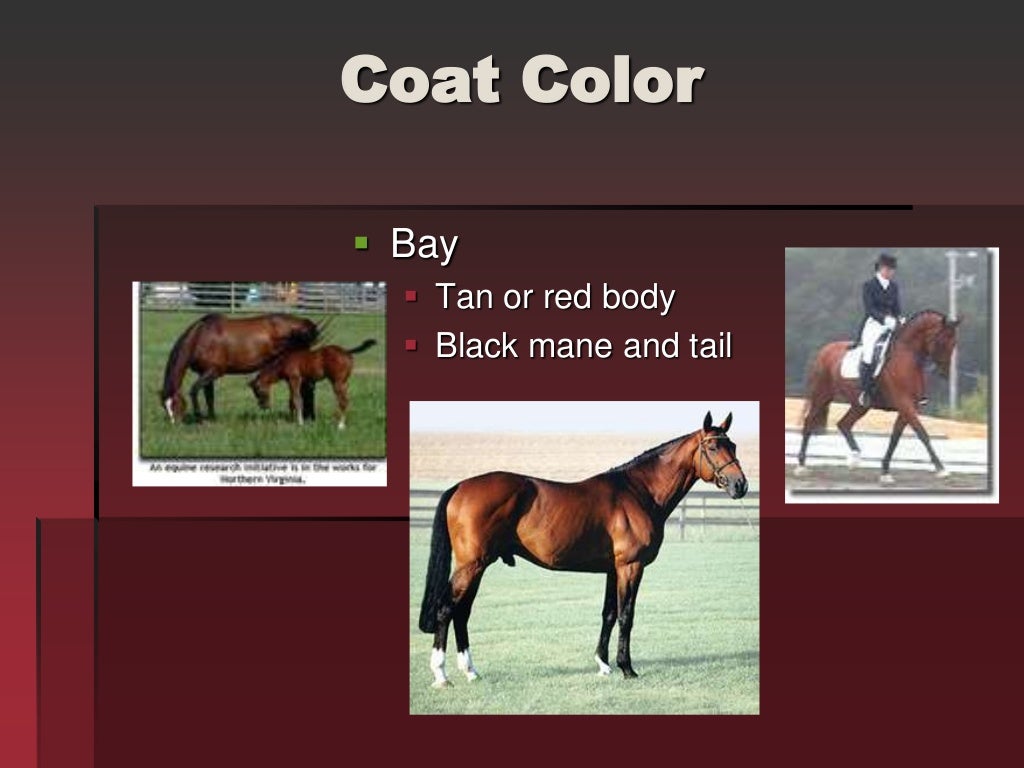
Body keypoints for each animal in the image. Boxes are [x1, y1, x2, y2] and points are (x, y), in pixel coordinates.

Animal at [160, 313, 322, 423]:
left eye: (175, 404)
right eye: (164, 407)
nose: (174, 424)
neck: (201, 337)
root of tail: (304, 323)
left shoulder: (214, 372)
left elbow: (194, 390)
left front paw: (199, 416)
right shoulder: (205, 373)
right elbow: (209, 397)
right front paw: (211, 418)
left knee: (307, 389)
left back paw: (307, 416)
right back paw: (308, 416)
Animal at [248, 340, 376, 429]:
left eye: (258, 391)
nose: (263, 406)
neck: (284, 362)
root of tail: (346, 351)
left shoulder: (295, 379)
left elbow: (296, 399)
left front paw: (300, 422)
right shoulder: (291, 381)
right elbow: (291, 401)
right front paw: (292, 420)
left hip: (337, 382)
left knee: (343, 401)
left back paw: (340, 425)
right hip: (344, 382)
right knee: (346, 400)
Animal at [417, 412, 748, 688]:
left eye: (732, 445)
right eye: (712, 447)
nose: (740, 485)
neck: (638, 492)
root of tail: (460, 487)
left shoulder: (613, 569)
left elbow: (608, 614)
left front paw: (603, 665)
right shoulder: (631, 566)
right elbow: (626, 614)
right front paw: (627, 668)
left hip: (478, 565)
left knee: (462, 612)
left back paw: (471, 671)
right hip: (471, 565)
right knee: (447, 609)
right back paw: (441, 675)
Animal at [795, 309, 960, 483]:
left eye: (954, 343)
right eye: (941, 341)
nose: (945, 373)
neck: (907, 356)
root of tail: (824, 351)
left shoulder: (909, 407)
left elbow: (895, 437)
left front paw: (885, 471)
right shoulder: (905, 404)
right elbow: (922, 433)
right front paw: (941, 469)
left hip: (860, 405)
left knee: (844, 424)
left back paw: (854, 459)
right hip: (822, 396)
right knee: (809, 422)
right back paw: (801, 466)